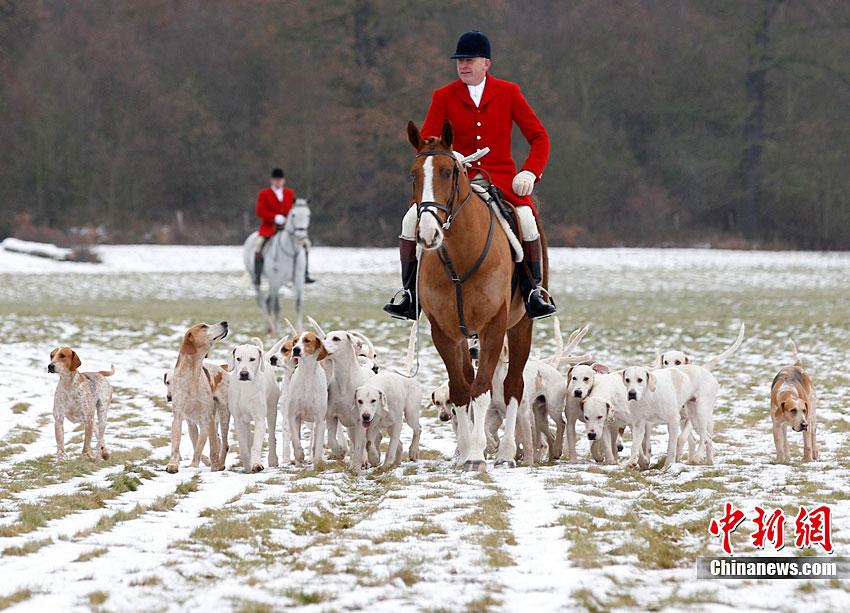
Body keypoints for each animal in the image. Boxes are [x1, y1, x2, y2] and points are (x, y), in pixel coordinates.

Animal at [240, 198, 310, 332]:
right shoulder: (277, 280)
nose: (301, 236)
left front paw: (299, 329)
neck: (291, 252)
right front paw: (277, 329)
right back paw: (270, 325)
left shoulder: (299, 279)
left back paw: (268, 326)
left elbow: (299, 304)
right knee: (262, 301)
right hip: (258, 279)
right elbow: (276, 305)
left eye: (308, 215)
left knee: (268, 301)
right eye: (293, 215)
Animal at [406, 119, 548, 470]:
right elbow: (461, 391)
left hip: (520, 326)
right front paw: (468, 450)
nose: (427, 234)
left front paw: (477, 455)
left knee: (513, 387)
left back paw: (508, 452)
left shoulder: (492, 328)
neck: (461, 254)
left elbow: (483, 389)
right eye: (413, 175)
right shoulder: (444, 333)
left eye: (448, 172)